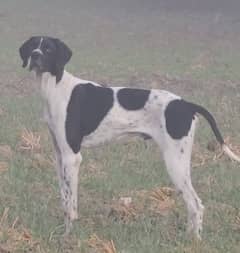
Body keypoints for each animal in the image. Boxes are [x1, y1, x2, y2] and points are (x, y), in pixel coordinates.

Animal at [19, 36, 240, 238]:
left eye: (48, 49)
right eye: (33, 47)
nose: (35, 56)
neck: (56, 87)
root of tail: (186, 104)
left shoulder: (72, 157)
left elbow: (71, 204)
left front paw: (68, 236)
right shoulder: (59, 156)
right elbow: (64, 199)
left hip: (175, 163)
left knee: (196, 204)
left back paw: (194, 240)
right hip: (180, 164)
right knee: (192, 205)